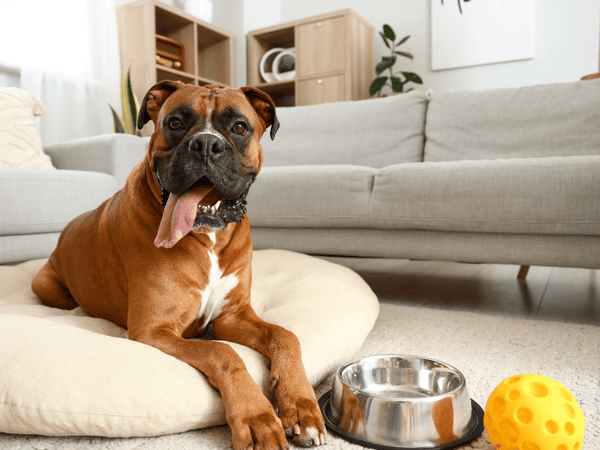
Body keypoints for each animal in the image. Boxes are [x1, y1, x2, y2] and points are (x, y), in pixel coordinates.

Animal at [32, 81, 326, 450]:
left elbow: (285, 335)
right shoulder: (155, 330)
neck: (207, 238)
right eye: (175, 122)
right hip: (45, 285)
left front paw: (301, 406)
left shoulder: (234, 317)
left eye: (239, 127)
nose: (206, 144)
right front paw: (257, 418)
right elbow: (222, 353)